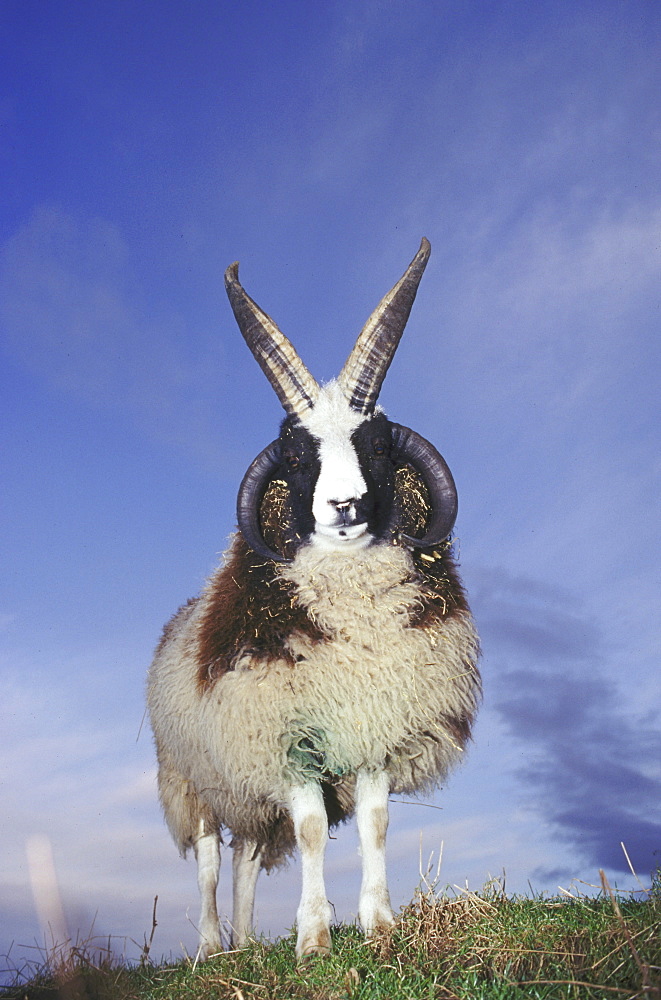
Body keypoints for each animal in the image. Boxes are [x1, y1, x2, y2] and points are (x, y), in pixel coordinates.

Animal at [147, 238, 480, 964]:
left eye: (376, 445)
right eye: (298, 457)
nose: (346, 505)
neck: (355, 632)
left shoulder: (376, 725)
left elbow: (376, 825)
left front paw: (378, 926)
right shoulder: (286, 737)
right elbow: (307, 833)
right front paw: (314, 939)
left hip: (246, 788)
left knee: (246, 859)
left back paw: (246, 940)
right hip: (196, 778)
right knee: (210, 861)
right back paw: (213, 947)